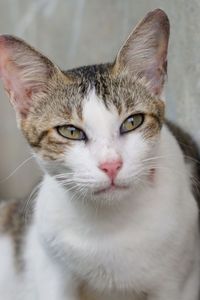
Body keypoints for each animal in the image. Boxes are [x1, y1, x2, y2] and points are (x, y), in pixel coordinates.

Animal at [0, 7, 198, 300]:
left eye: (133, 121)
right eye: (70, 131)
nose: (111, 165)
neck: (109, 226)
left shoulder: (177, 283)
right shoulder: (54, 271)